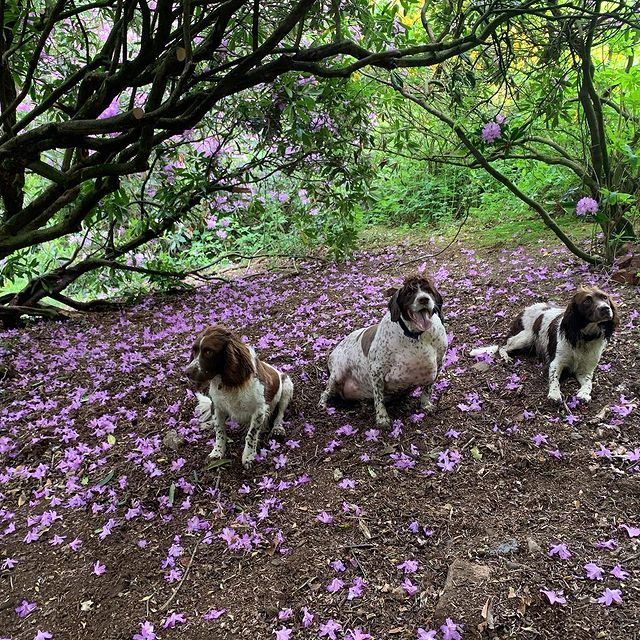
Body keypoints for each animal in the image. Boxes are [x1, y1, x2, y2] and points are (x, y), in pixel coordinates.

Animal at [184, 328, 294, 468]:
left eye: (208, 351)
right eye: (194, 350)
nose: (186, 372)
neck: (229, 383)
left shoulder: (259, 410)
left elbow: (251, 435)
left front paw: (248, 456)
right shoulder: (217, 406)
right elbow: (219, 431)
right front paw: (217, 452)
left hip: (287, 385)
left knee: (280, 414)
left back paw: (278, 429)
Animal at [318, 274, 448, 428]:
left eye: (428, 290)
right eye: (409, 293)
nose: (424, 299)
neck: (416, 336)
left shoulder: (439, 363)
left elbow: (428, 388)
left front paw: (425, 404)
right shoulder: (377, 371)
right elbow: (378, 398)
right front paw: (382, 418)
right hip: (337, 374)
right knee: (325, 393)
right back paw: (322, 404)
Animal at [472, 286, 616, 402]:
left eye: (605, 297)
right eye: (587, 301)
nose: (605, 308)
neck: (585, 338)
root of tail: (524, 310)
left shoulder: (585, 371)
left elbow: (588, 384)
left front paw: (584, 394)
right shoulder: (556, 362)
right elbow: (554, 378)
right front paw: (555, 393)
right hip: (527, 337)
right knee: (503, 346)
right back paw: (506, 357)